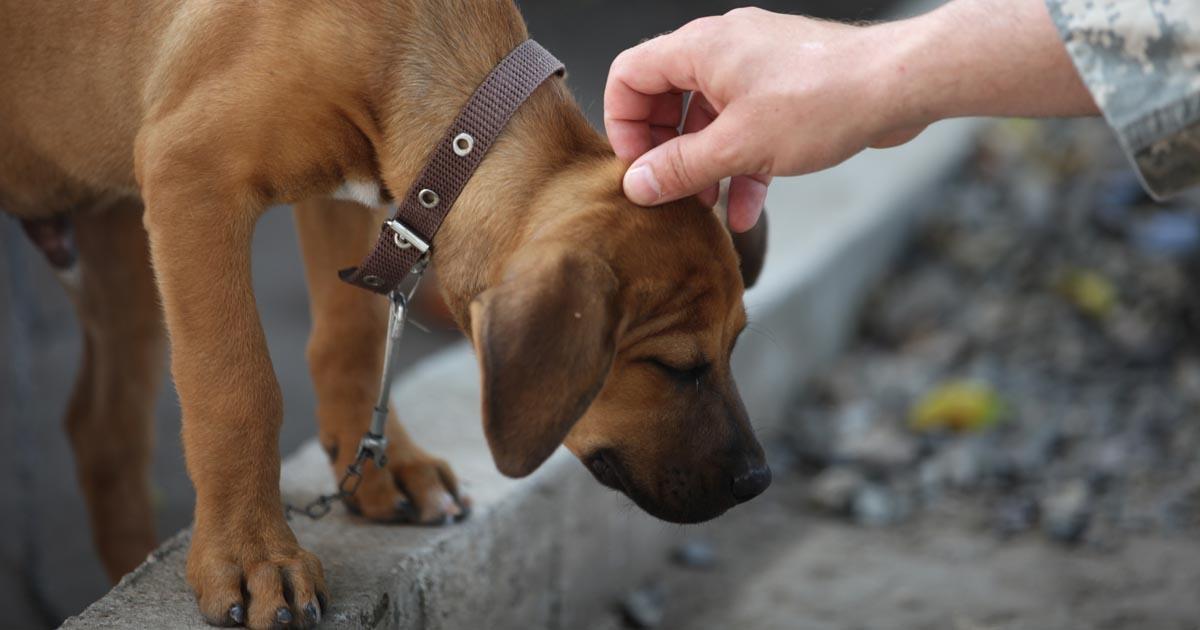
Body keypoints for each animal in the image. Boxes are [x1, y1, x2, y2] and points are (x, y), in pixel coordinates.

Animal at [2, 0, 768, 624]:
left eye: (736, 347)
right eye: (675, 367)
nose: (758, 483)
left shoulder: (366, 198)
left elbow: (355, 336)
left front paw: (383, 465)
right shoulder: (192, 178)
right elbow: (237, 387)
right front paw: (252, 555)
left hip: (116, 237)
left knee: (102, 430)